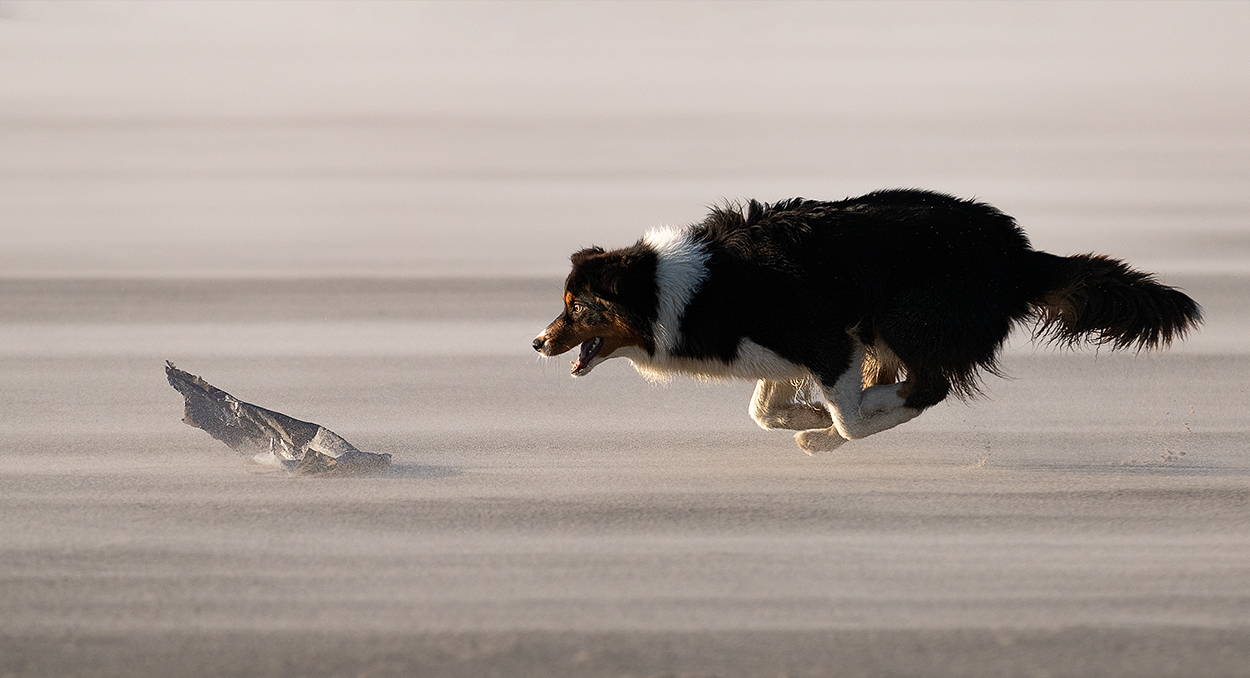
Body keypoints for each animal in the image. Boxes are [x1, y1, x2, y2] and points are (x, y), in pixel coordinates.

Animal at [530, 190, 1200, 452]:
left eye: (574, 307)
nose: (536, 343)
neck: (680, 291)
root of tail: (1016, 252)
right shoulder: (784, 354)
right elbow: (764, 410)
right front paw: (807, 419)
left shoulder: (828, 340)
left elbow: (849, 417)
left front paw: (827, 424)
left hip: (904, 318)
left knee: (928, 388)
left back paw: (870, 408)